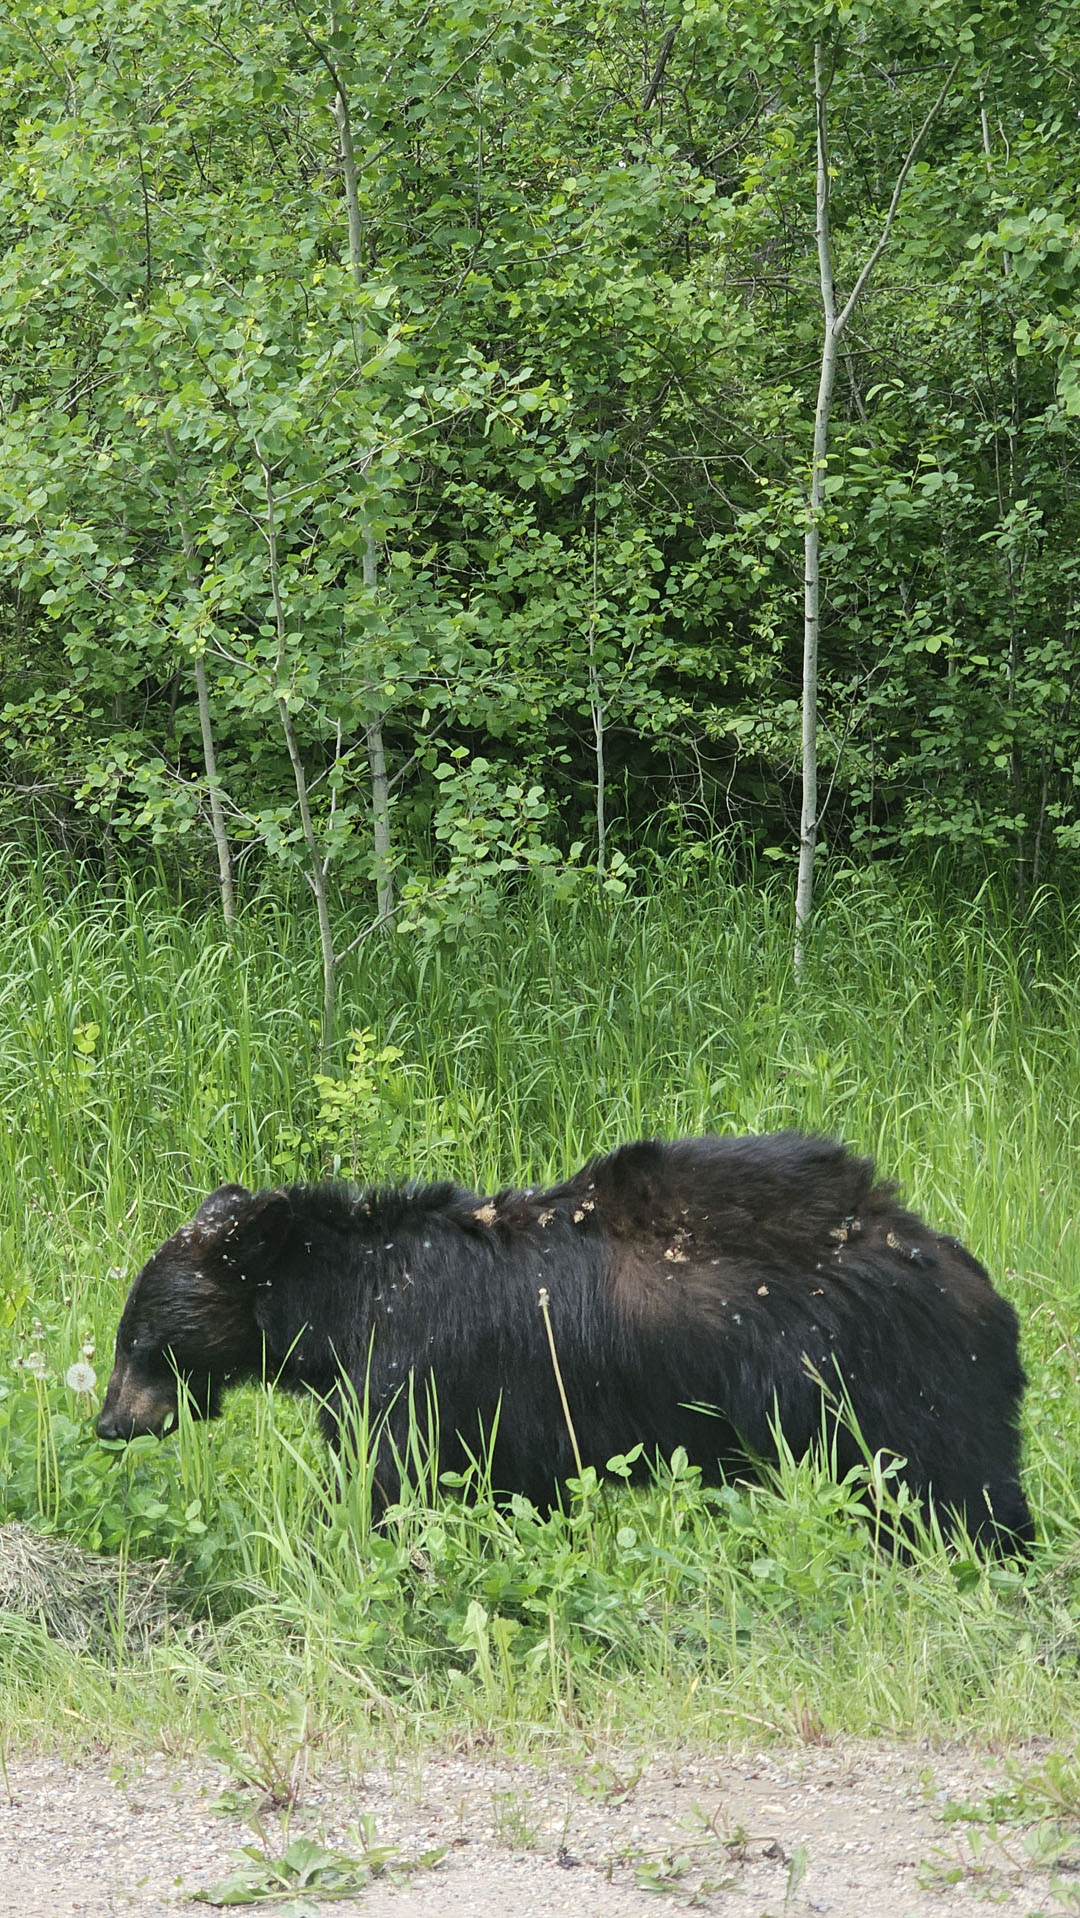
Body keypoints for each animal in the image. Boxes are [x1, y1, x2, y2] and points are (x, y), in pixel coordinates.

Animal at [96, 1131, 1033, 1552]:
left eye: (139, 1335)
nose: (110, 1423)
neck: (346, 1300)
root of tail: (976, 1283)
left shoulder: (415, 1376)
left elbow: (391, 1483)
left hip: (891, 1383)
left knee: (956, 1489)